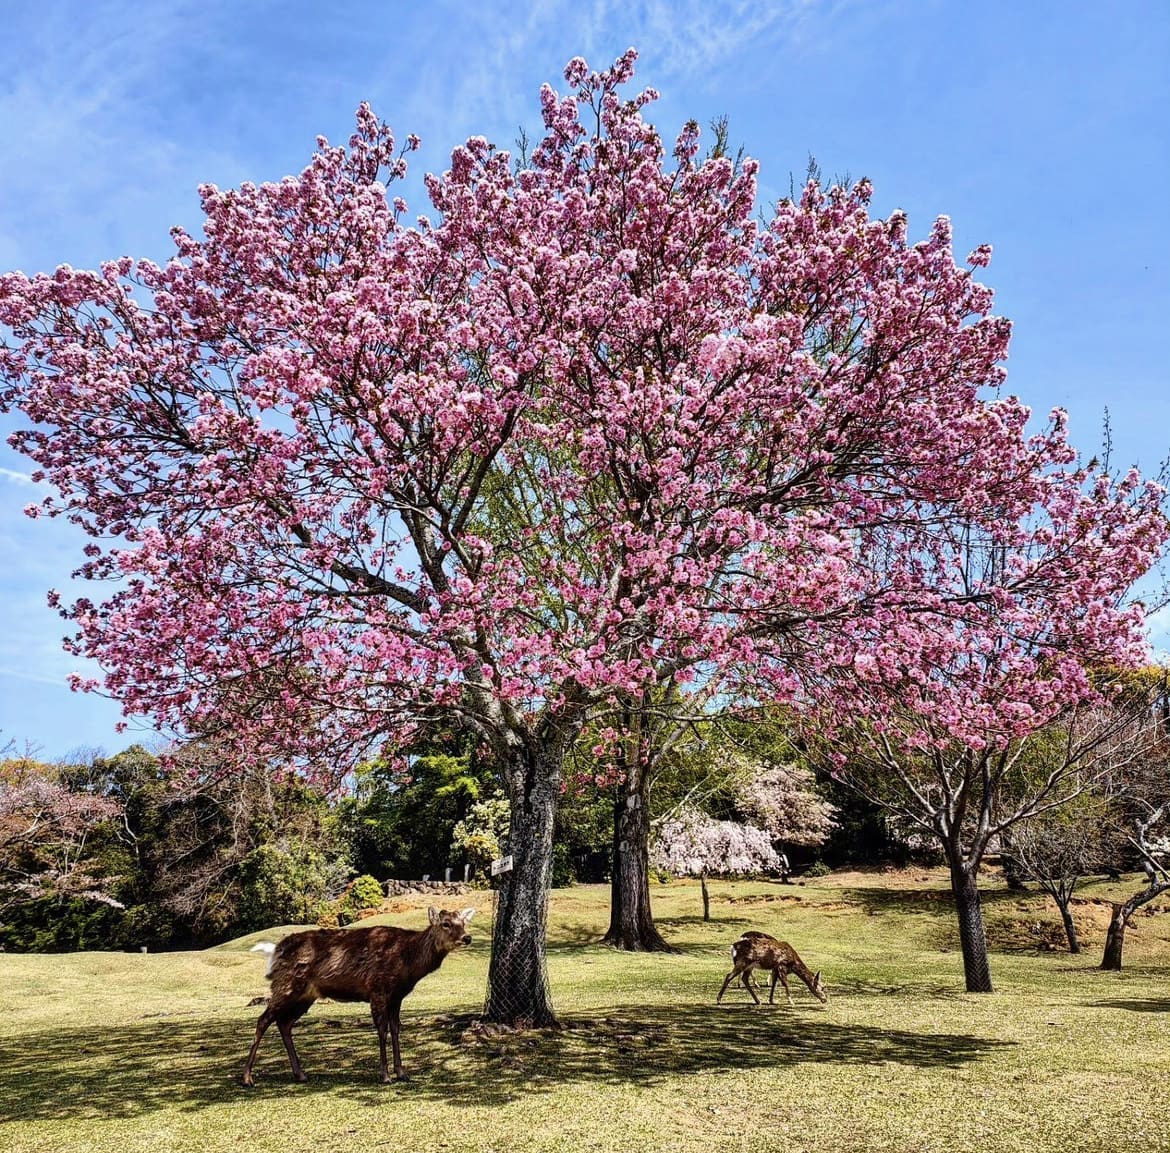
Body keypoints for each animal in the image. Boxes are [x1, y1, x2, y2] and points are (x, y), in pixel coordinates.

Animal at [242, 903, 475, 1086]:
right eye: (446, 923)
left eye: (463, 922)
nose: (467, 937)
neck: (407, 963)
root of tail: (274, 951)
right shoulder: (377, 988)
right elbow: (382, 1029)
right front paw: (385, 1075)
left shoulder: (397, 996)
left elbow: (396, 1029)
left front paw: (402, 1072)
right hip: (286, 984)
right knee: (264, 1019)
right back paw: (247, 1078)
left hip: (305, 995)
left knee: (284, 1023)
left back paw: (300, 1074)